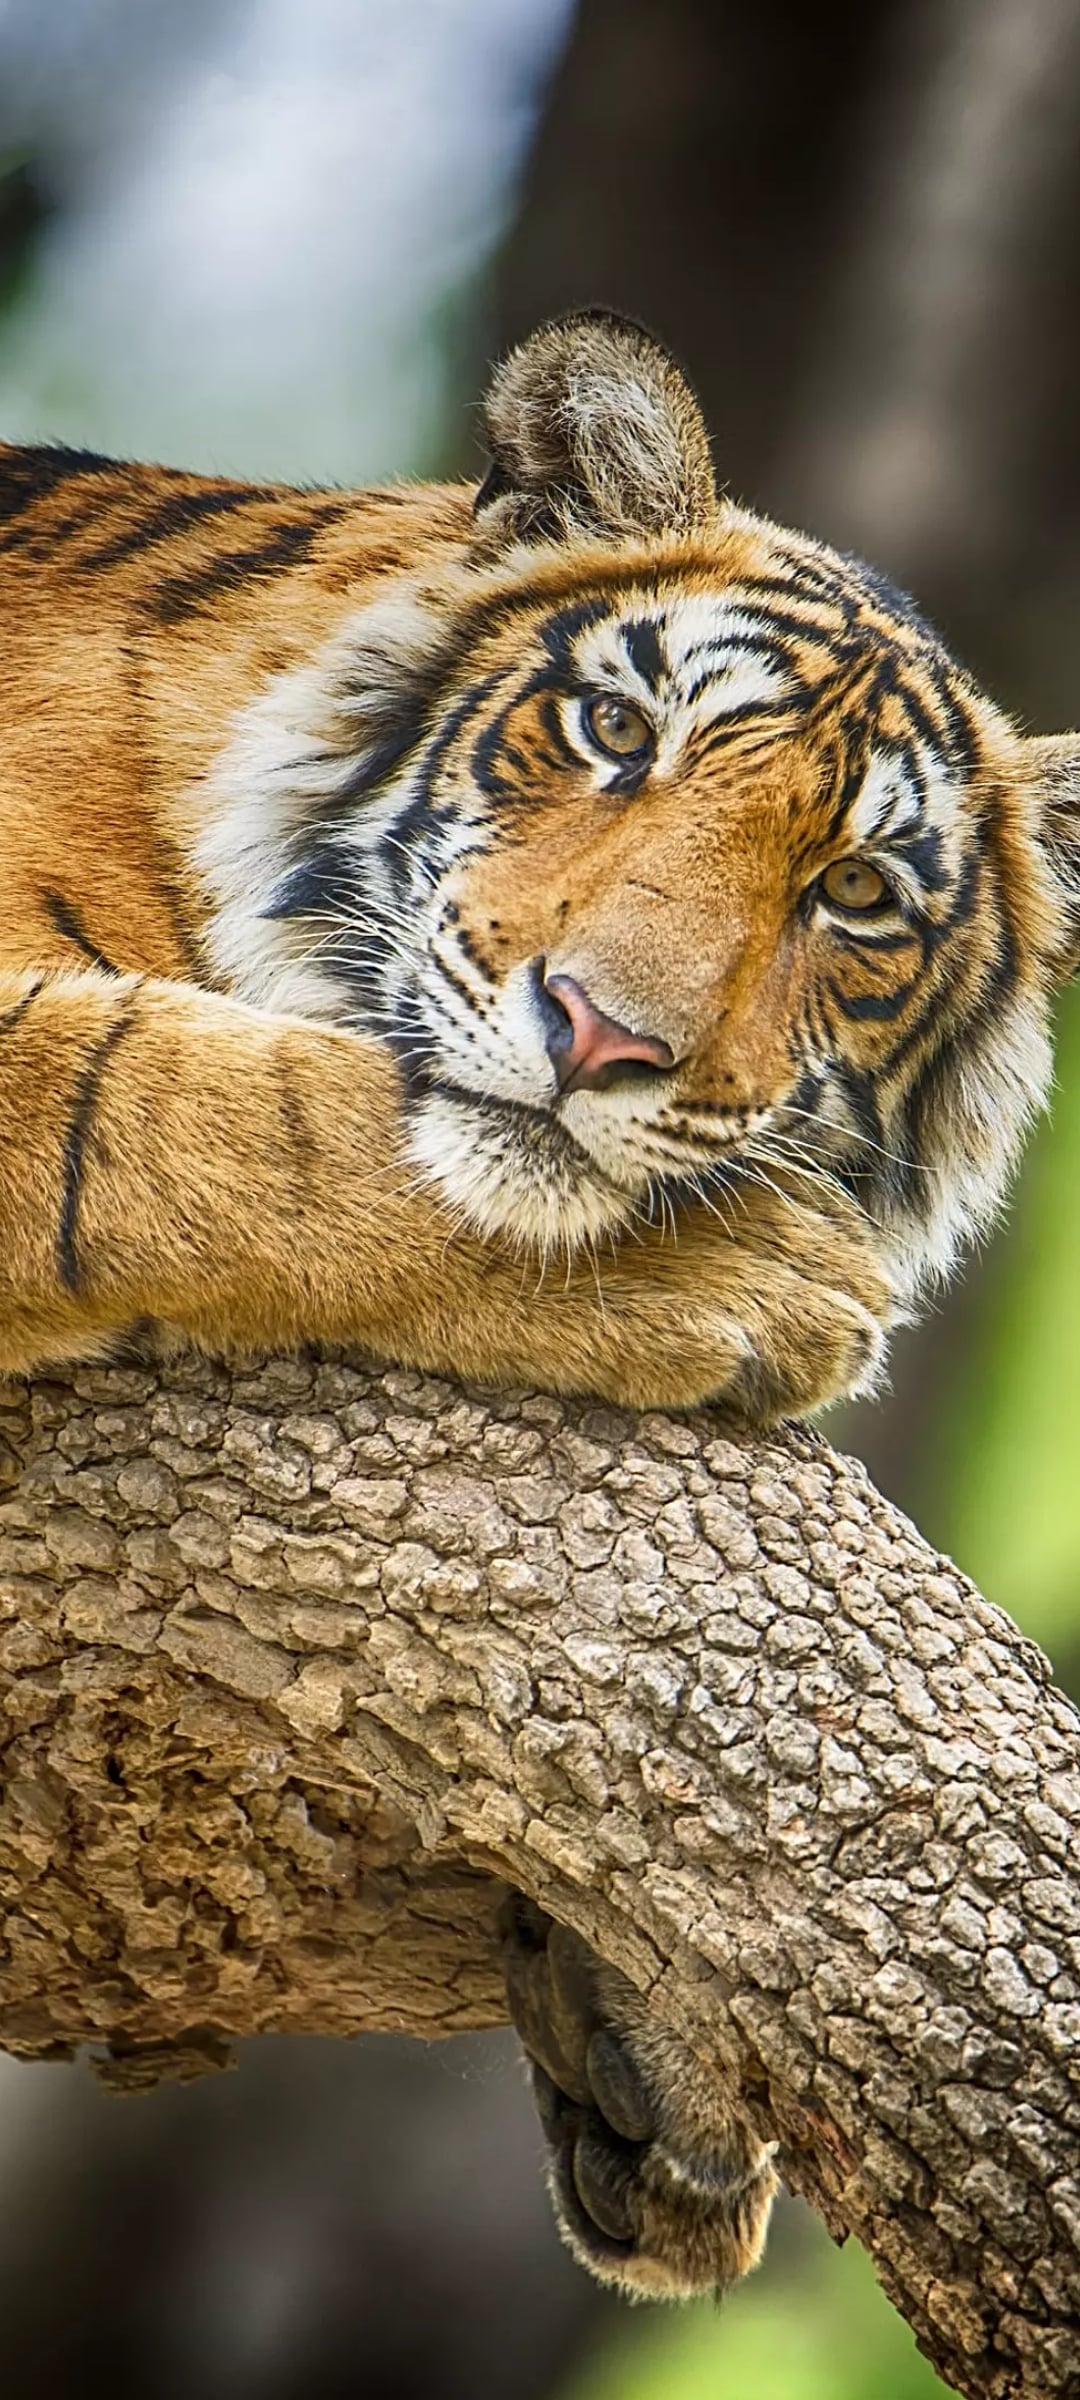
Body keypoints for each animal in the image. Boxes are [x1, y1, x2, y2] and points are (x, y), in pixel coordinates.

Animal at [1, 309, 1076, 2301]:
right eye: (614, 730)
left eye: (856, 895)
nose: (599, 1035)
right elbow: (174, 1092)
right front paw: (757, 1276)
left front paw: (654, 2063)